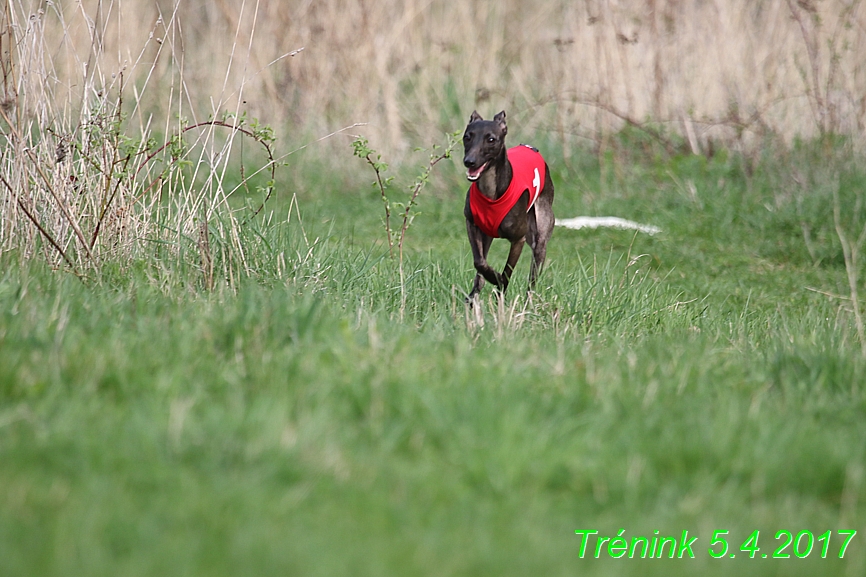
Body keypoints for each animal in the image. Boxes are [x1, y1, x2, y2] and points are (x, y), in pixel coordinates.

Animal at [460, 109, 552, 300]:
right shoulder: (472, 225)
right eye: (467, 137)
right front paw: (491, 277)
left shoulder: (518, 239)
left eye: (491, 139)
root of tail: (530, 147)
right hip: (488, 235)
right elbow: (479, 262)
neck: (491, 192)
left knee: (532, 280)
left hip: (539, 238)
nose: (469, 161)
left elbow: (507, 272)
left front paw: (499, 285)